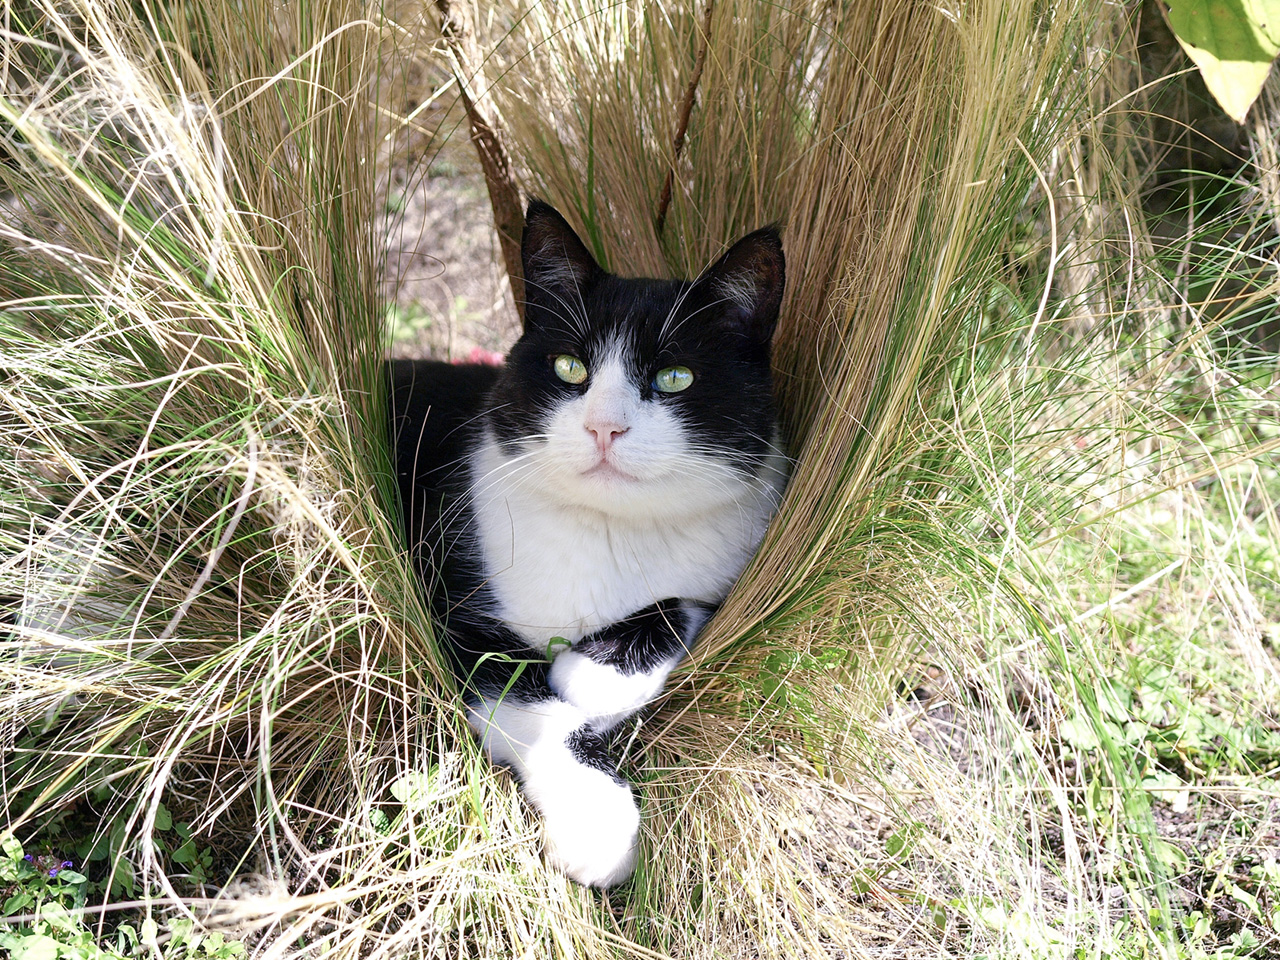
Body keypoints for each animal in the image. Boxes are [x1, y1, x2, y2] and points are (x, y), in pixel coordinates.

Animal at [389, 199, 788, 890]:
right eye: (569, 368)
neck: (607, 528)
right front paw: (599, 820)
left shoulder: (744, 550)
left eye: (675, 377)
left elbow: (687, 601)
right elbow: (535, 705)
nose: (605, 426)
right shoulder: (456, 603)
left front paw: (596, 673)